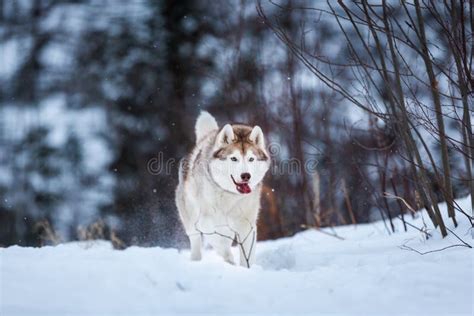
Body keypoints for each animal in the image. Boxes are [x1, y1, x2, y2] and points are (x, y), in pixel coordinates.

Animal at [175, 111, 270, 266]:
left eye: (251, 159)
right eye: (234, 158)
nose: (246, 176)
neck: (230, 195)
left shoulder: (247, 227)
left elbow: (246, 258)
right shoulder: (205, 223)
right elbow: (221, 245)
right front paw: (229, 260)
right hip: (191, 221)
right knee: (196, 241)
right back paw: (196, 260)